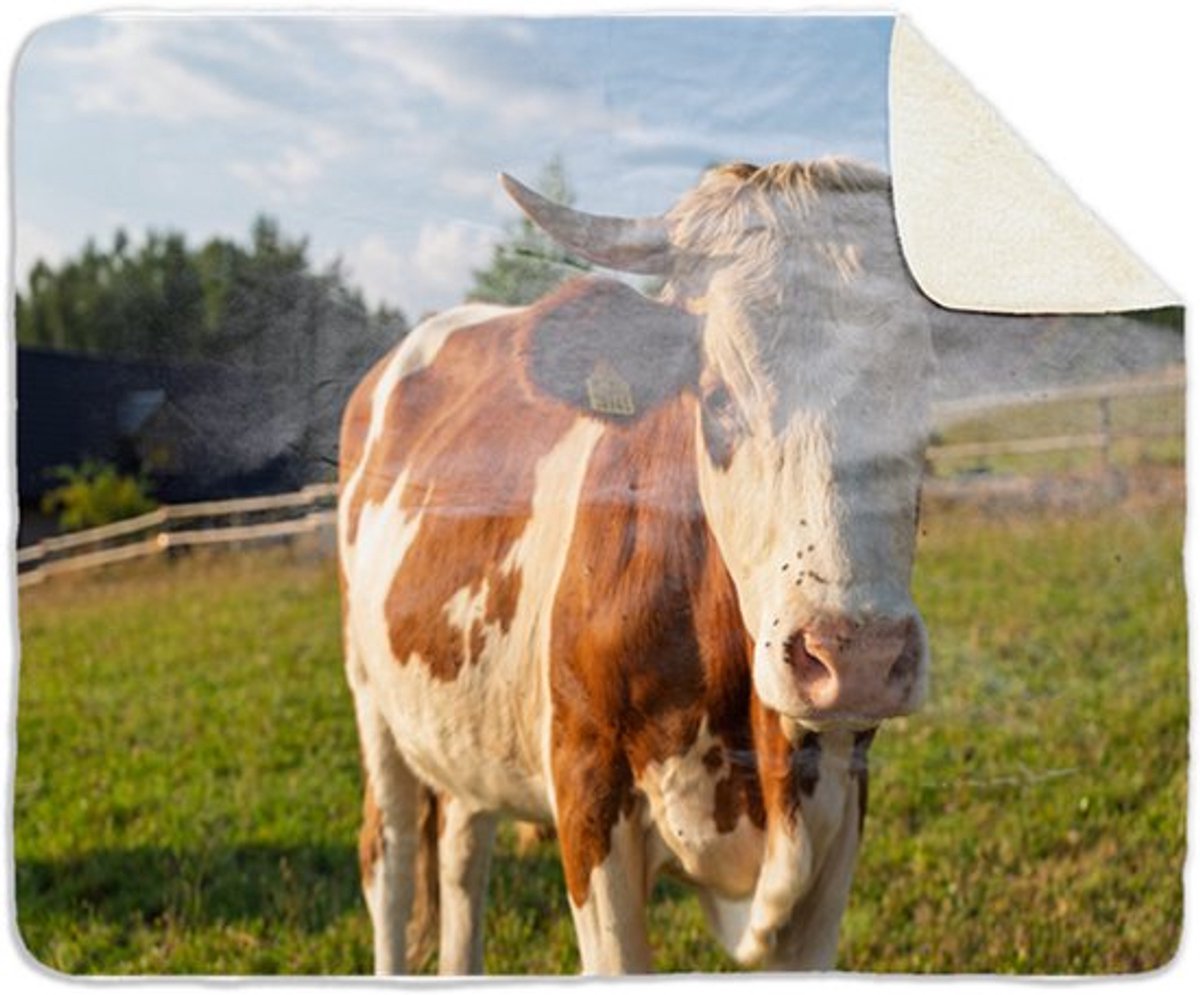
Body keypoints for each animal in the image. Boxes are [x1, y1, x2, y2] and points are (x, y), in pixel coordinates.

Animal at [338, 158, 935, 975]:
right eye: (714, 399)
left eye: (928, 397)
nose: (857, 656)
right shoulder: (588, 793)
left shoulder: (840, 814)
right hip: (373, 698)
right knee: (391, 857)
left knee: (463, 850)